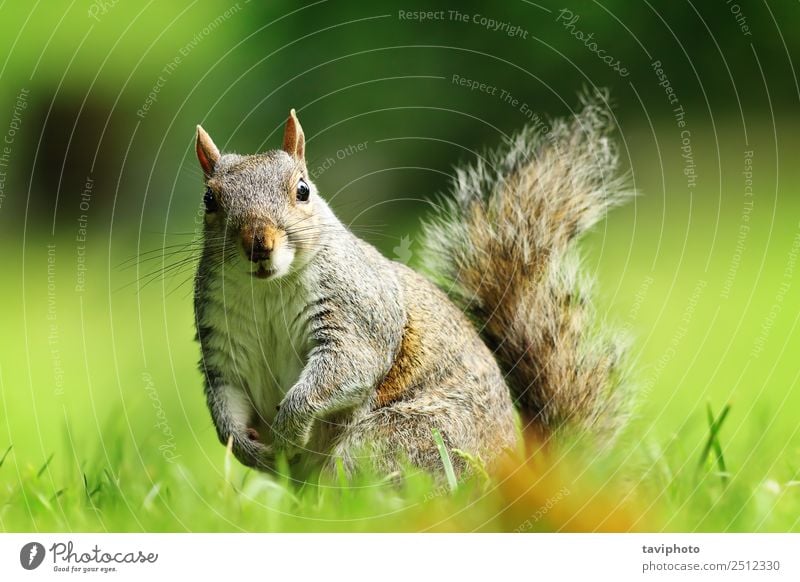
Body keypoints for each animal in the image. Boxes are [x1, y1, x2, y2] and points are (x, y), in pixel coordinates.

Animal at [192, 98, 632, 482]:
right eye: (209, 199)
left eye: (303, 190)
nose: (258, 243)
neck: (268, 289)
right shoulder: (223, 344)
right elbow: (224, 399)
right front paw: (247, 448)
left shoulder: (358, 312)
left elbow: (347, 364)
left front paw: (289, 428)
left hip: (400, 439)